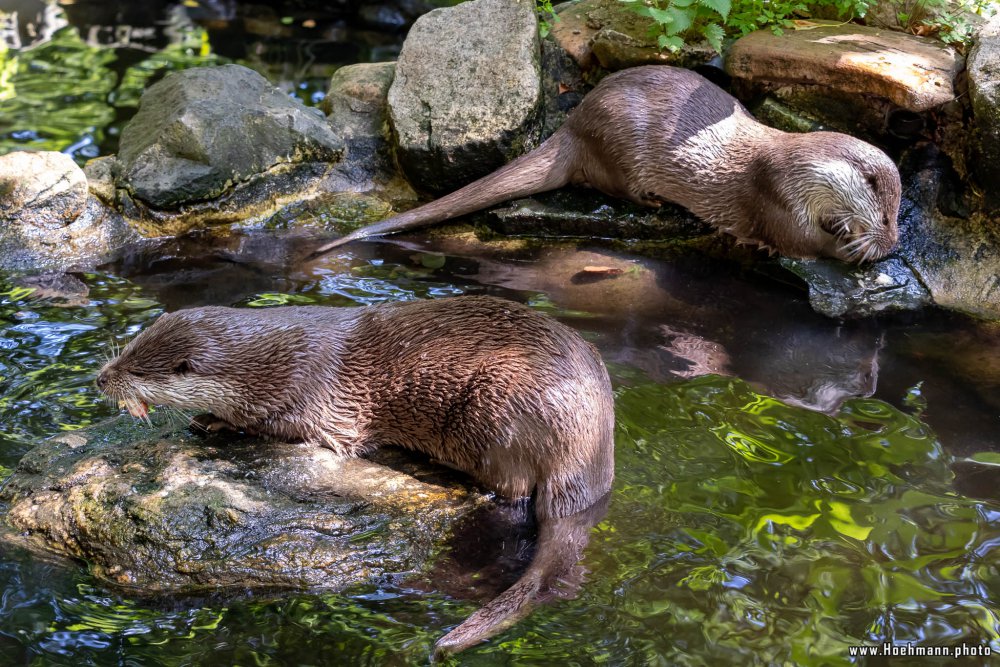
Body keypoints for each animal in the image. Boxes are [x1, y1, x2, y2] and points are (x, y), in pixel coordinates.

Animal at [99, 298, 616, 656]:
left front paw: (215, 421)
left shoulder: (310, 399)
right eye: (129, 348)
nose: (102, 378)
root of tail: (591, 445)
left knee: (511, 489)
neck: (266, 366)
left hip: (499, 411)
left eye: (137, 370)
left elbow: (285, 429)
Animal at [308, 64, 904, 264]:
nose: (895, 243)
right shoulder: (775, 198)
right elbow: (798, 242)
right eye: (887, 216)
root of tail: (573, 124)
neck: (792, 167)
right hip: (619, 143)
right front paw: (851, 248)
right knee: (613, 184)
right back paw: (651, 200)